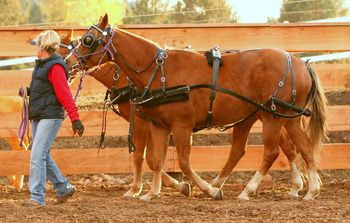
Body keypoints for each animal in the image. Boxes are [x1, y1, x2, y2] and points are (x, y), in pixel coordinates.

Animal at [65, 14, 328, 201]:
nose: (68, 63)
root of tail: (301, 63)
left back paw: (246, 190)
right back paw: (309, 191)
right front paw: (152, 193)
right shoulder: (159, 125)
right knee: (301, 148)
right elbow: (156, 159)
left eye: (88, 39)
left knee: (272, 152)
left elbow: (180, 162)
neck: (159, 72)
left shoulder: (180, 125)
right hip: (286, 117)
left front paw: (205, 190)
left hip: (272, 117)